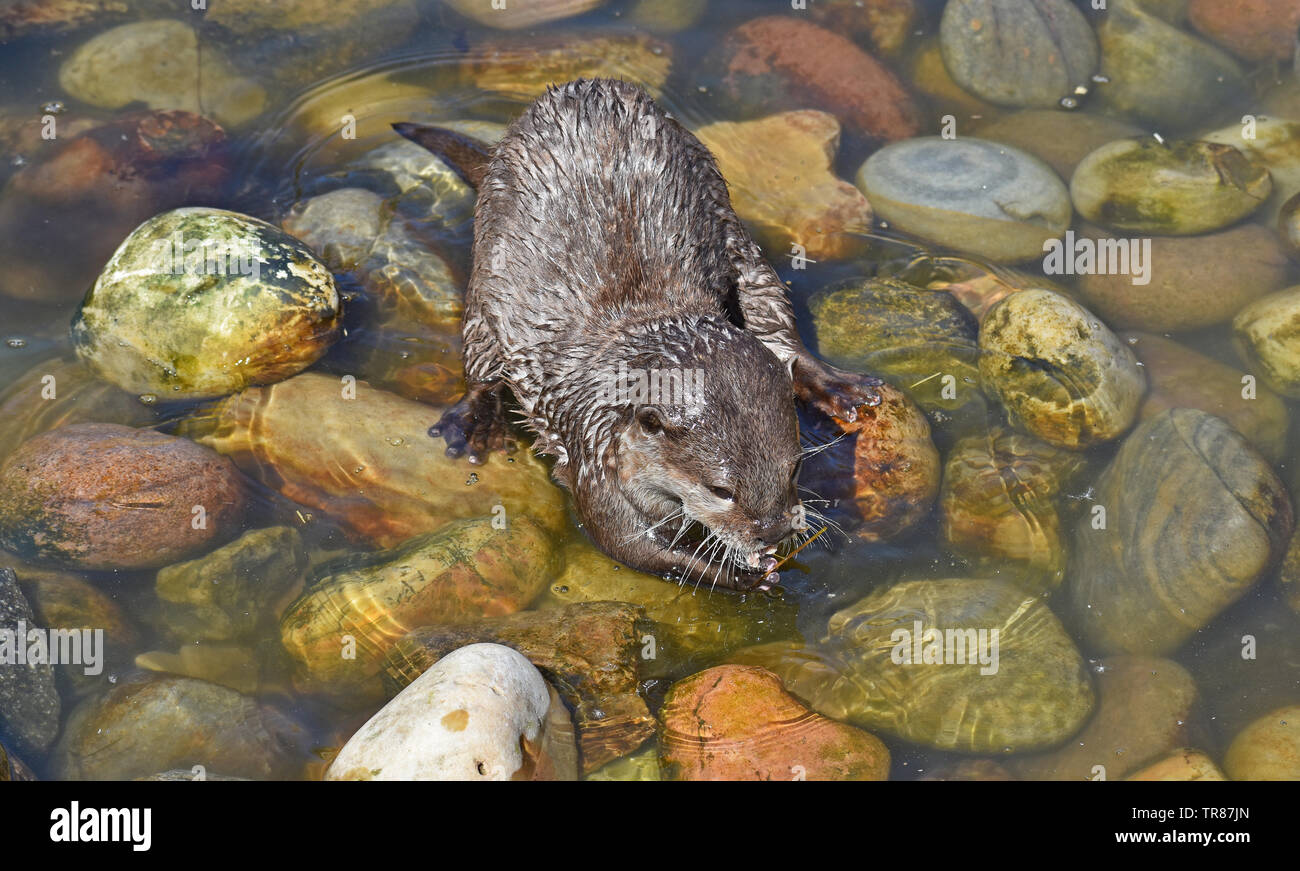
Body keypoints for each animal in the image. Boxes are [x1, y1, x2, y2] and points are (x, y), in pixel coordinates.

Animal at [397, 78, 883, 592]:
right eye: (721, 490)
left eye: (794, 468)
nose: (771, 532)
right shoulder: (595, 445)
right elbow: (620, 539)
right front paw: (743, 576)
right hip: (485, 275)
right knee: (481, 355)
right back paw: (470, 424)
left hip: (741, 246)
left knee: (776, 321)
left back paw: (841, 387)